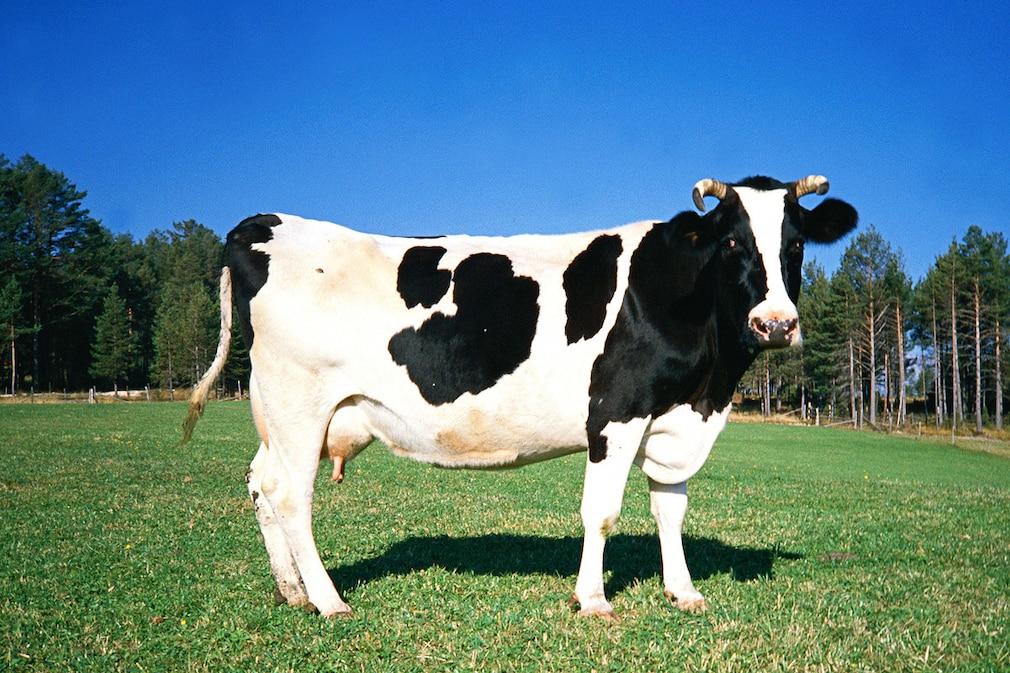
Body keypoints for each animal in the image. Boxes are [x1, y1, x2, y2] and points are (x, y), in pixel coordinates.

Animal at [183, 175, 857, 620]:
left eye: (796, 243)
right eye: (732, 242)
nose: (776, 325)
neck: (711, 382)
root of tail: (263, 223)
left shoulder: (673, 420)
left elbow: (671, 511)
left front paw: (683, 591)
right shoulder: (616, 413)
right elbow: (601, 512)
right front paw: (593, 600)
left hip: (277, 415)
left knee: (260, 484)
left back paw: (292, 591)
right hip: (298, 405)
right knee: (290, 497)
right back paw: (328, 600)